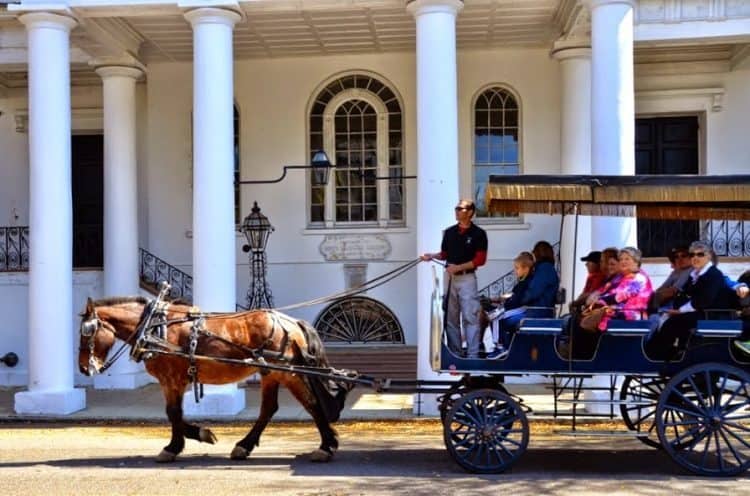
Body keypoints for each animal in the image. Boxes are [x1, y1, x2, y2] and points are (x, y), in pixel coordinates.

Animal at [79, 294, 356, 462]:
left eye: (87, 332)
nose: (83, 368)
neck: (155, 328)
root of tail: (291, 322)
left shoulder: (171, 379)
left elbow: (173, 413)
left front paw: (174, 446)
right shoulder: (176, 381)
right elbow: (175, 413)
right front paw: (200, 434)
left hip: (287, 372)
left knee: (311, 404)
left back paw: (326, 446)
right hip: (270, 372)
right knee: (269, 408)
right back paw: (245, 445)